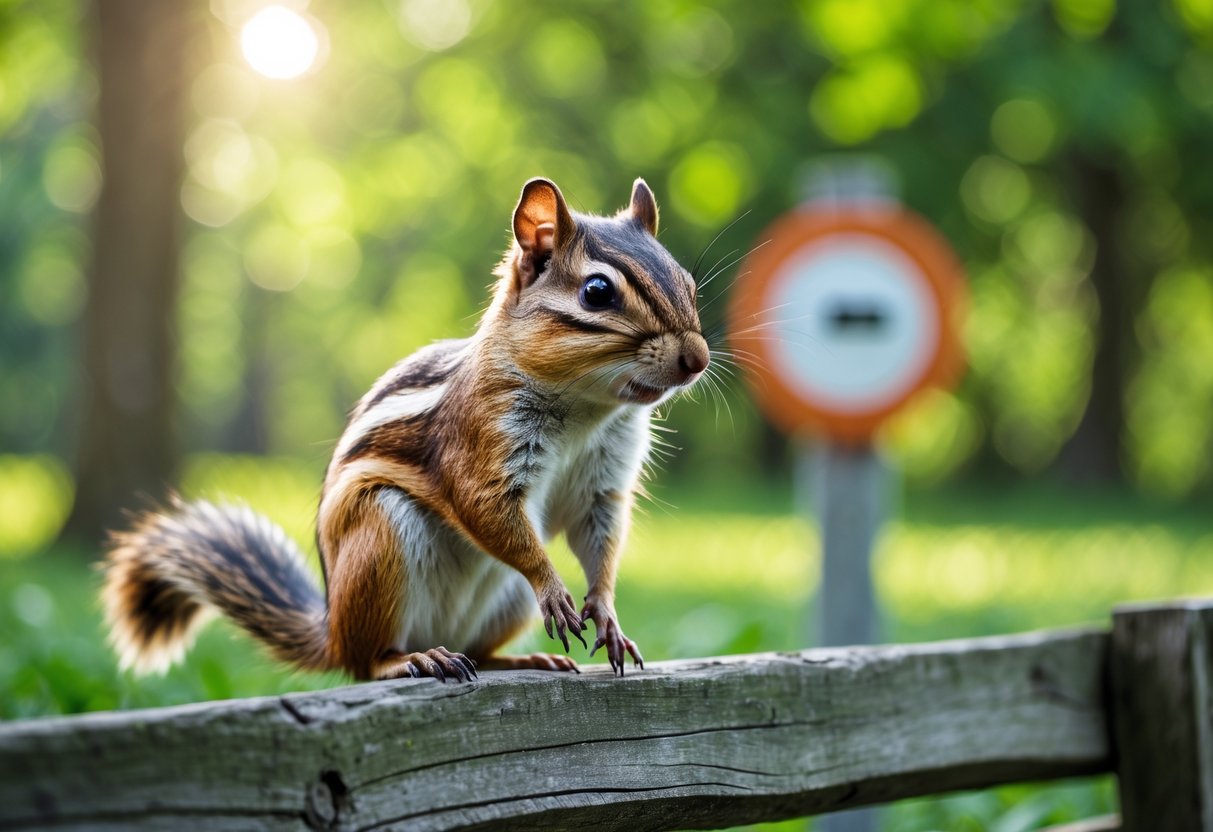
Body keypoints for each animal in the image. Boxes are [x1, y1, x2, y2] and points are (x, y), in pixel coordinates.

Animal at [102, 177, 710, 682]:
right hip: (381, 540)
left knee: (478, 651)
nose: (697, 360)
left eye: (687, 282)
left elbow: (600, 538)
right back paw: (413, 659)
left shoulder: (602, 482)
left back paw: (520, 658)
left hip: (500, 600)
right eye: (597, 293)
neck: (588, 410)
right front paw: (554, 589)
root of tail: (333, 632)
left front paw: (606, 614)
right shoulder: (480, 440)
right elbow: (484, 508)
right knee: (366, 663)